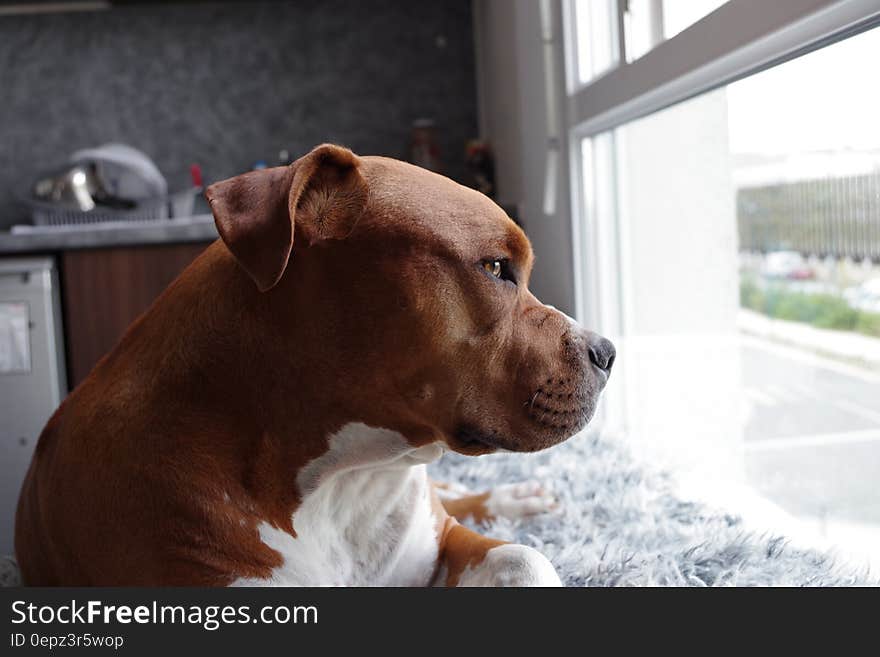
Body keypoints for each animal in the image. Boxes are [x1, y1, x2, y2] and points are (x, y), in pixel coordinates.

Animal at [15, 144, 620, 584]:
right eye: (495, 268)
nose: (607, 352)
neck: (341, 478)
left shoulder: (444, 544)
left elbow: (525, 557)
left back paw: (517, 497)